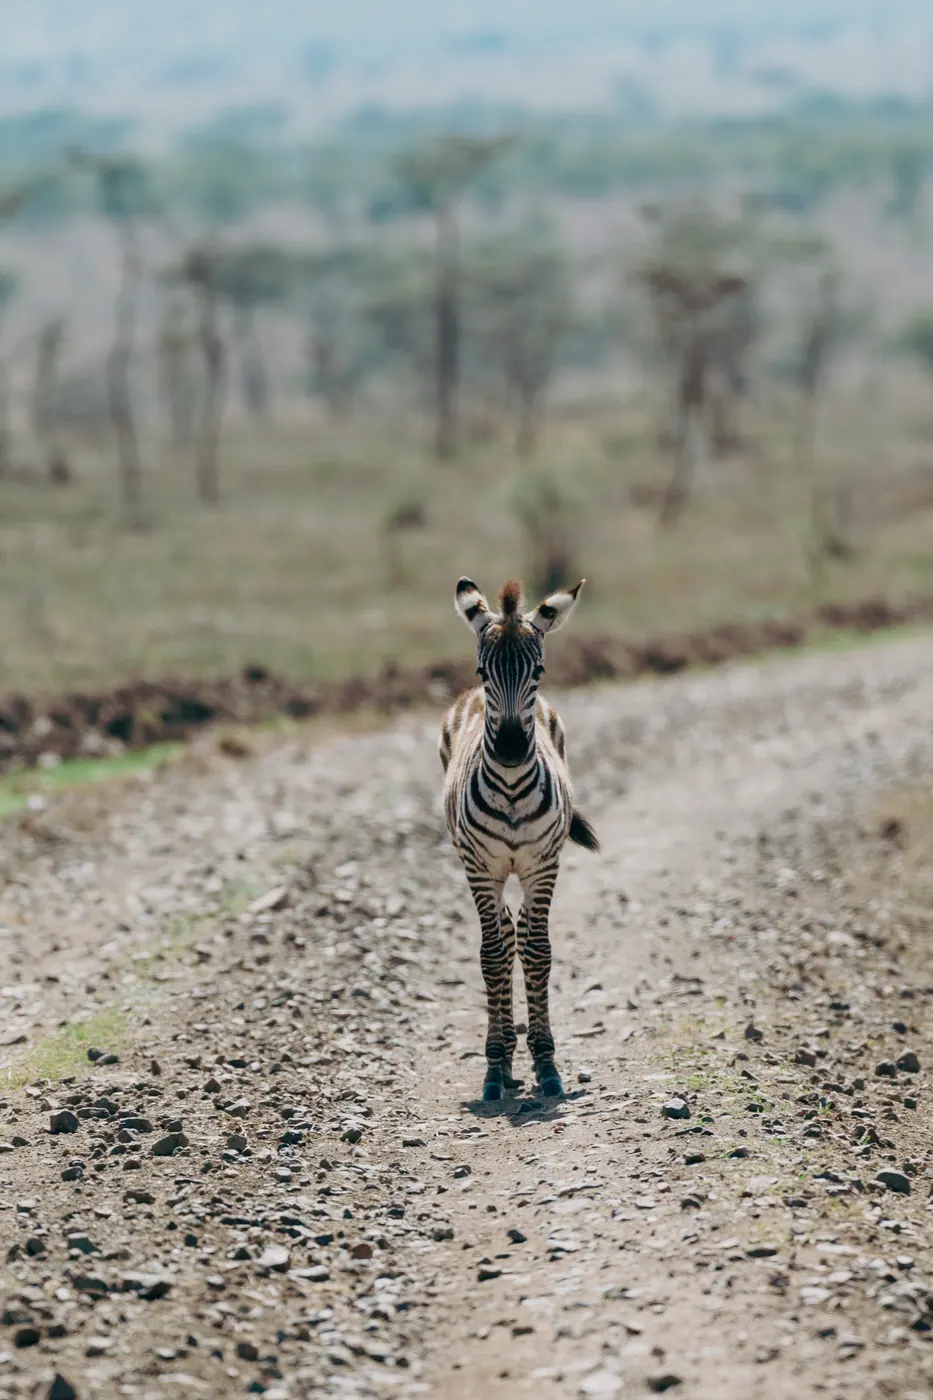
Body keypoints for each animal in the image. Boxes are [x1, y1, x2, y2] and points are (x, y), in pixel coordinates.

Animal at [439, 575, 599, 1102]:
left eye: (540, 670)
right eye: (481, 669)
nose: (510, 748)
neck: (510, 787)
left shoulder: (543, 866)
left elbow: (540, 952)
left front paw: (547, 1064)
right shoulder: (480, 869)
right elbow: (492, 956)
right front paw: (494, 1069)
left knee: (523, 933)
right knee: (507, 935)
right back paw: (506, 1056)